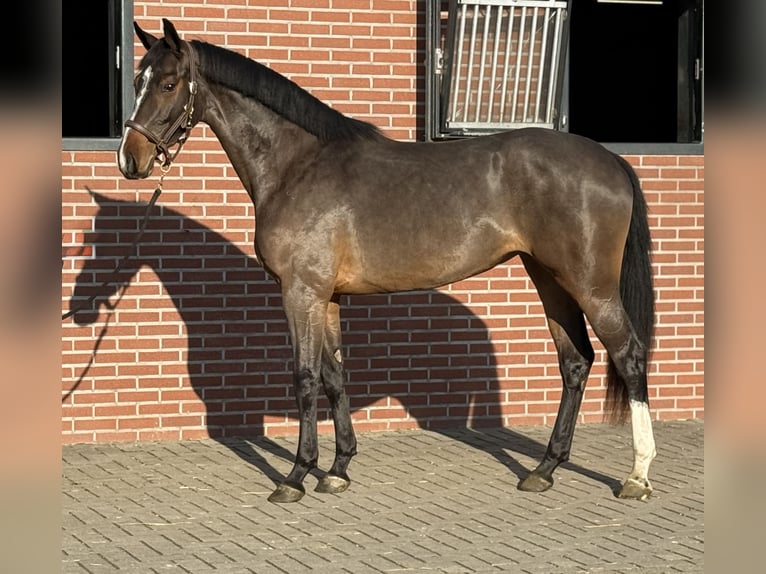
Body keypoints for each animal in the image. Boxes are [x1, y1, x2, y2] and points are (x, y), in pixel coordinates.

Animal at [117, 18, 656, 503]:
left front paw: (297, 476)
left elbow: (305, 378)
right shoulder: (327, 297)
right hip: (549, 277)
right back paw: (544, 469)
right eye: (138, 80)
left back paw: (637, 476)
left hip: (591, 285)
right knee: (575, 362)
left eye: (167, 83)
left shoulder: (301, 293)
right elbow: (334, 377)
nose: (129, 160)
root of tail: (611, 160)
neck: (297, 166)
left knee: (629, 355)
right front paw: (338, 471)